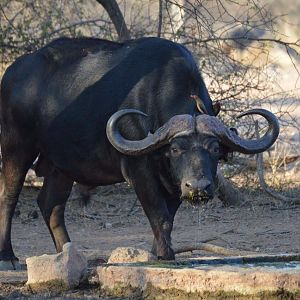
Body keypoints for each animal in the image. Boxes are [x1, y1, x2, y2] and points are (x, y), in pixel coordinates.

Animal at [0, 35, 278, 268]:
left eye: (215, 148)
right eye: (175, 149)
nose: (198, 187)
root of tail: (11, 74)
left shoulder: (173, 182)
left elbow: (169, 218)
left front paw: (158, 252)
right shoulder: (139, 171)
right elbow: (159, 215)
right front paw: (165, 255)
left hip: (62, 165)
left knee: (51, 204)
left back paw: (67, 254)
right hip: (16, 147)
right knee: (9, 196)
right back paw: (9, 257)